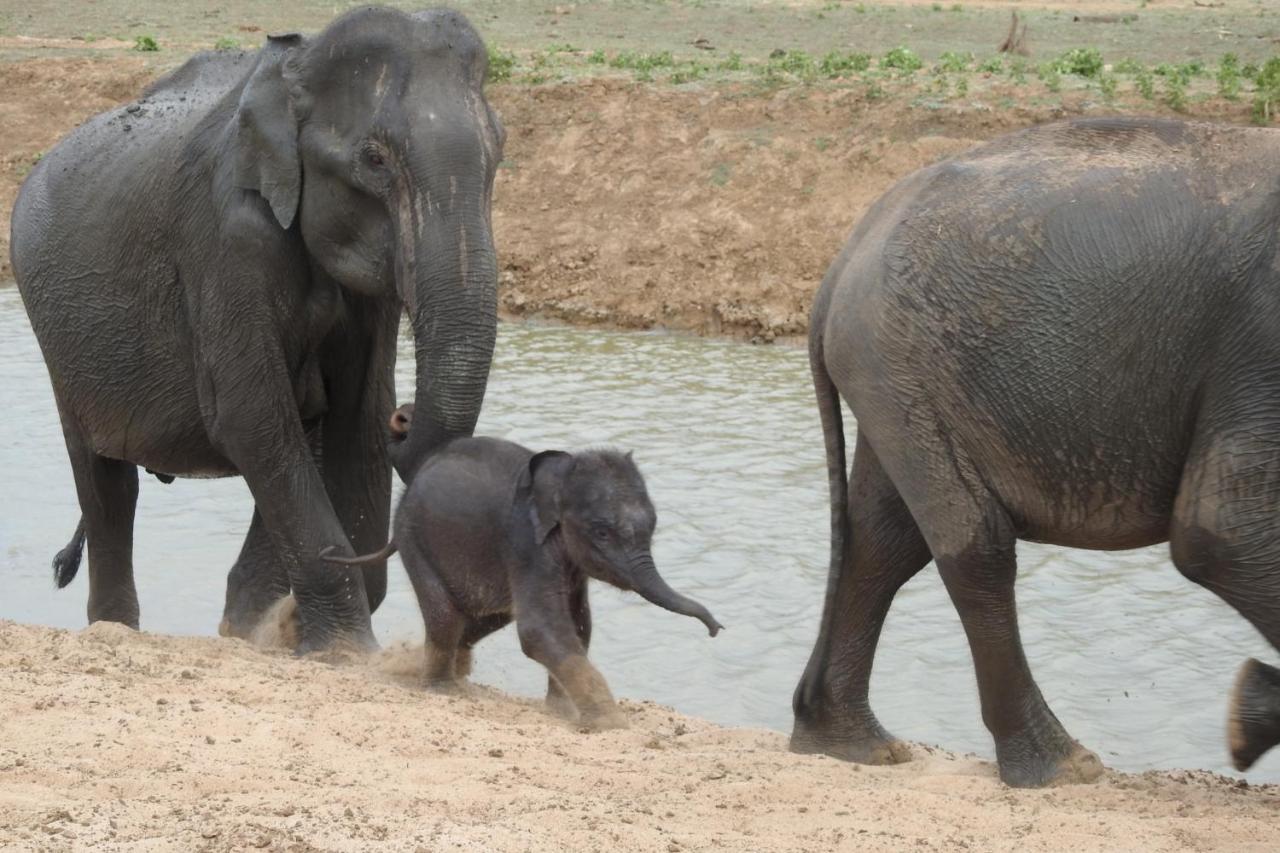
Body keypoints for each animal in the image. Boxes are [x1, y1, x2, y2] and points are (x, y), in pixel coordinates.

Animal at [8, 6, 504, 650]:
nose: (408, 417)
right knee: (106, 482)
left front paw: (290, 632)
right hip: (57, 334)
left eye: (500, 153)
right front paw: (342, 650)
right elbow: (251, 419)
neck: (298, 70)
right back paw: (118, 629)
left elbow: (357, 417)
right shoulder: (226, 242)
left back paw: (243, 625)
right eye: (374, 160)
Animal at [325, 409, 727, 727]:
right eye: (602, 532)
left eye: (653, 526)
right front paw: (611, 724)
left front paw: (562, 713)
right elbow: (541, 628)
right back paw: (445, 690)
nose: (715, 629)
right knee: (446, 616)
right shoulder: (527, 546)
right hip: (416, 540)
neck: (562, 473)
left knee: (488, 615)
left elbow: (579, 624)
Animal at [793, 114, 1274, 783]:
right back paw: (1064, 767)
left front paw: (1245, 720)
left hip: (893, 376)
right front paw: (1245, 720)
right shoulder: (1261, 344)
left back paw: (850, 745)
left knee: (882, 540)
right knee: (975, 543)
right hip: (902, 360)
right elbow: (1223, 534)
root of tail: (838, 266)